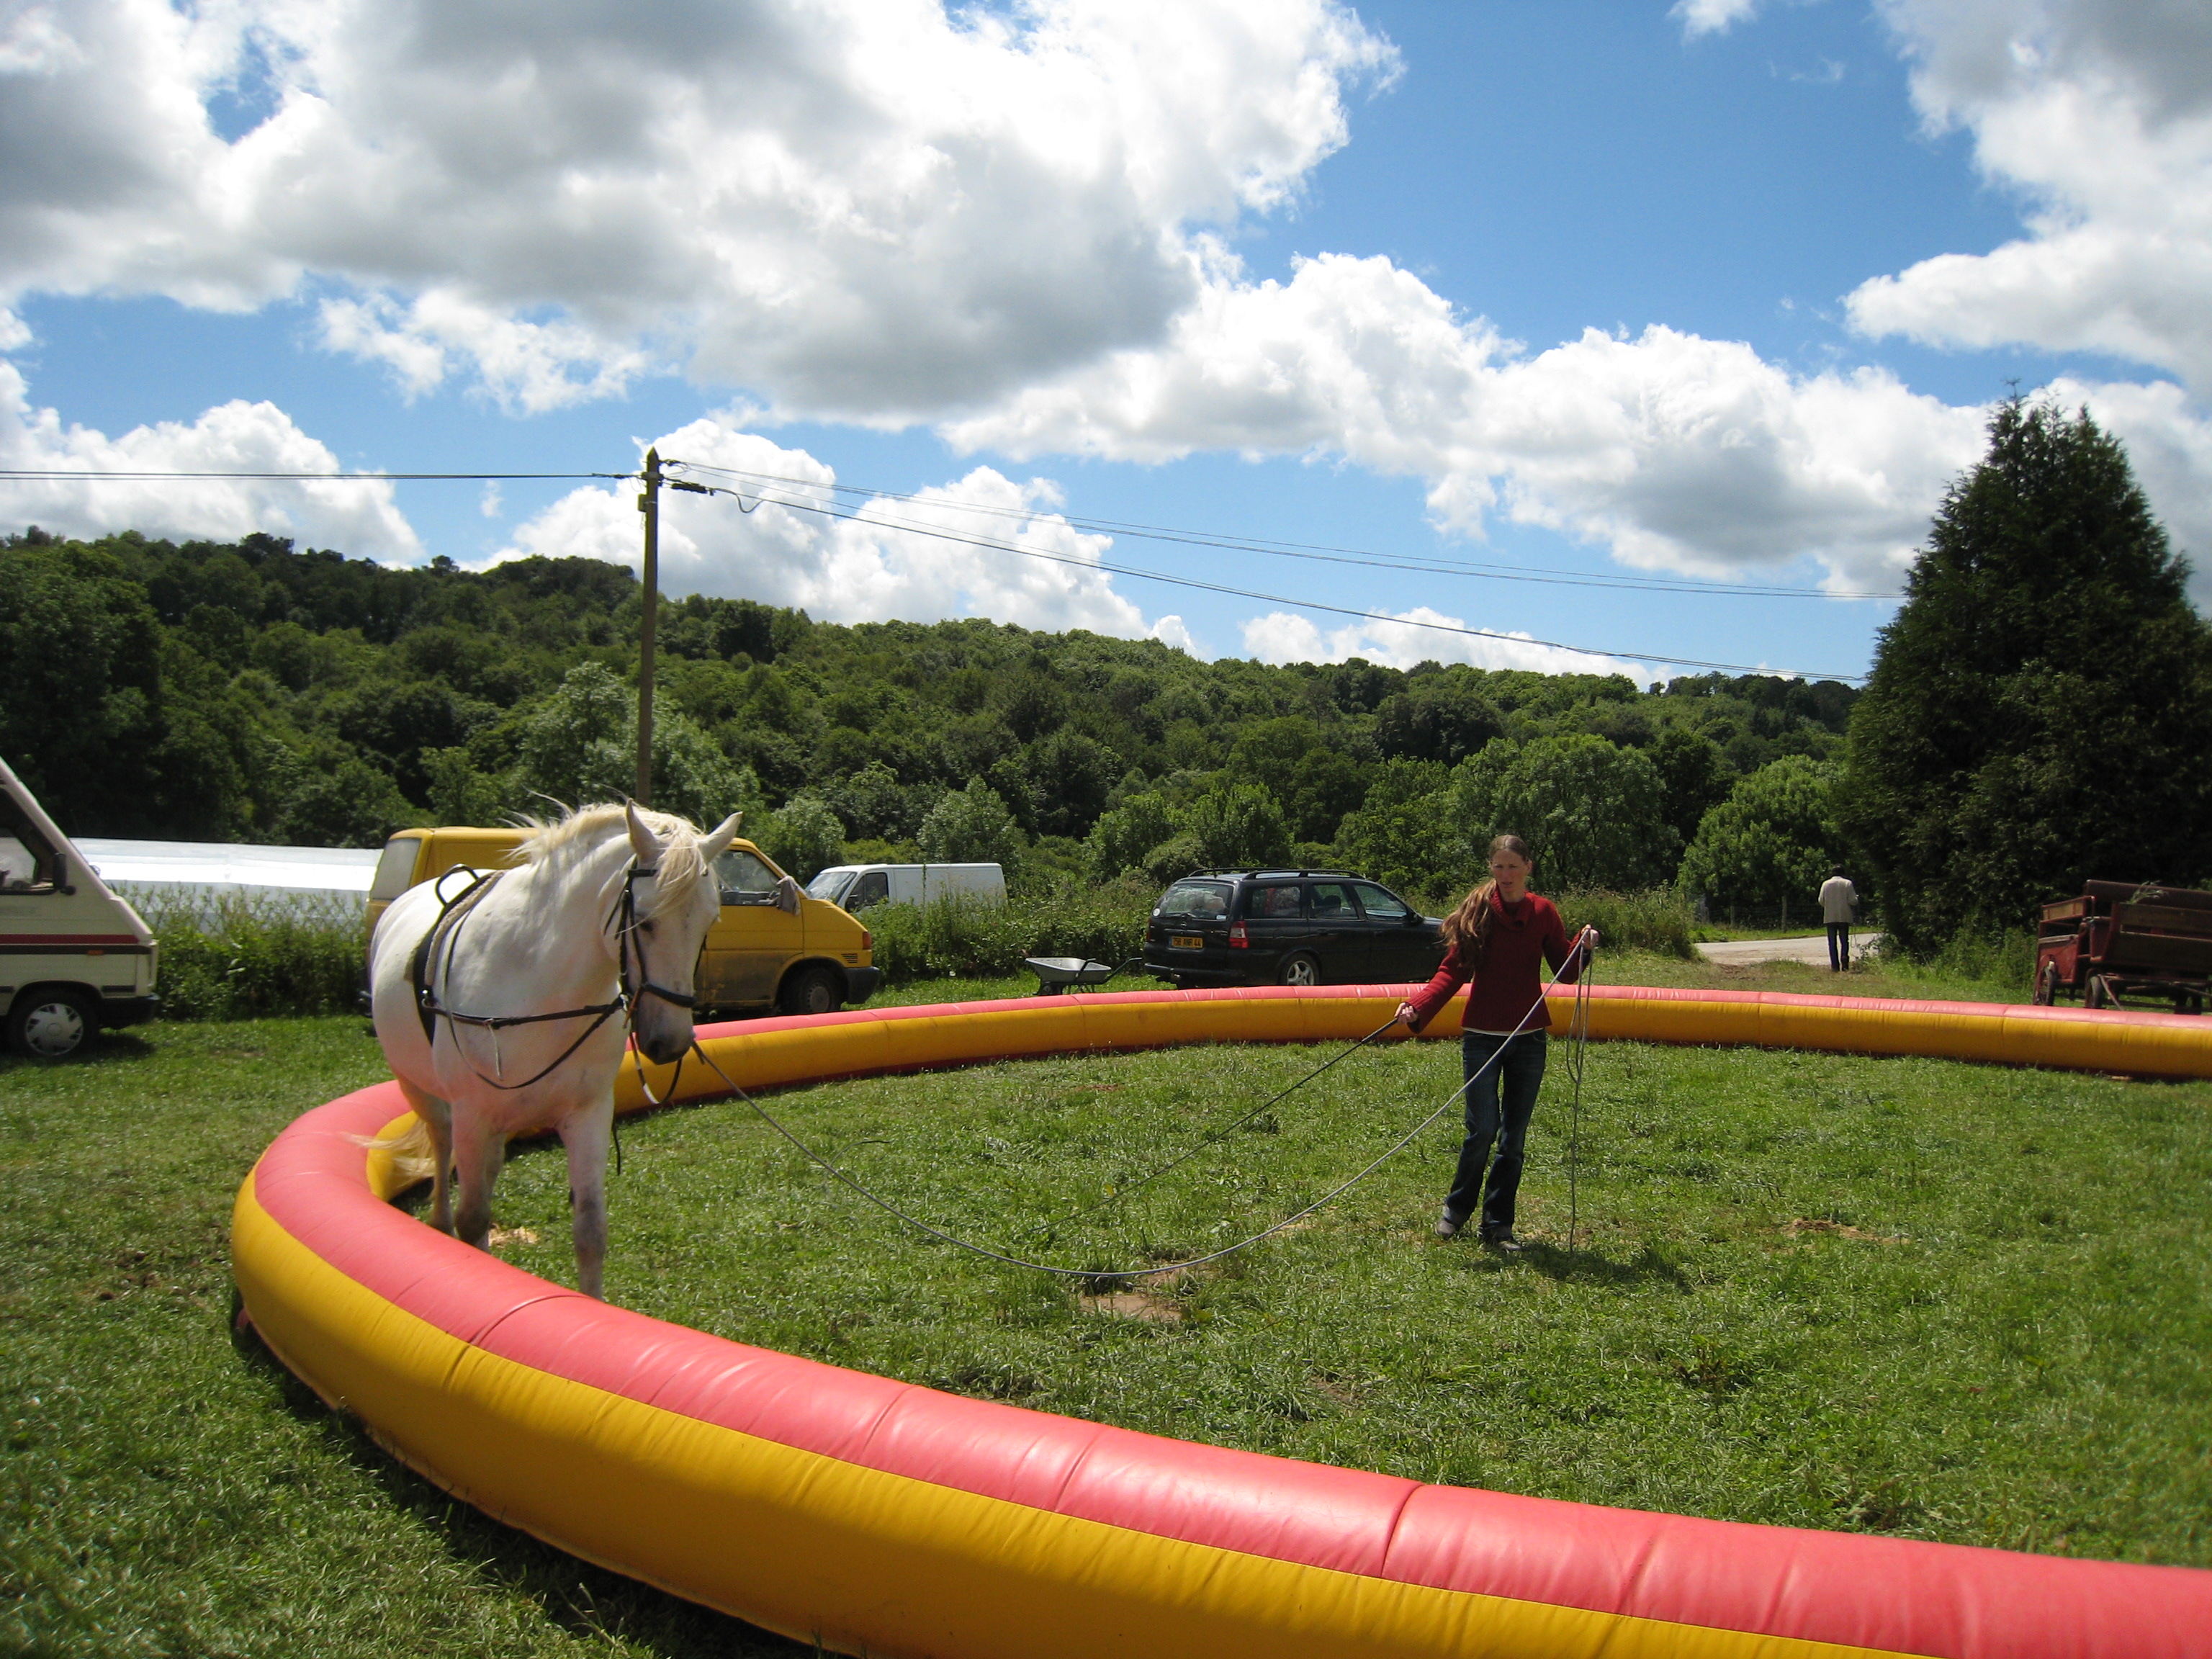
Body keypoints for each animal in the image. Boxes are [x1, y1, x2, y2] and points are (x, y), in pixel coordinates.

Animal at [367, 801, 741, 1299]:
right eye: (643, 920)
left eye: (710, 921)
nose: (671, 1042)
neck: (538, 985)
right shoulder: (473, 1115)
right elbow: (474, 1220)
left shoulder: (587, 1116)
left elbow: (590, 1230)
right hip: (418, 1088)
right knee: (441, 1143)